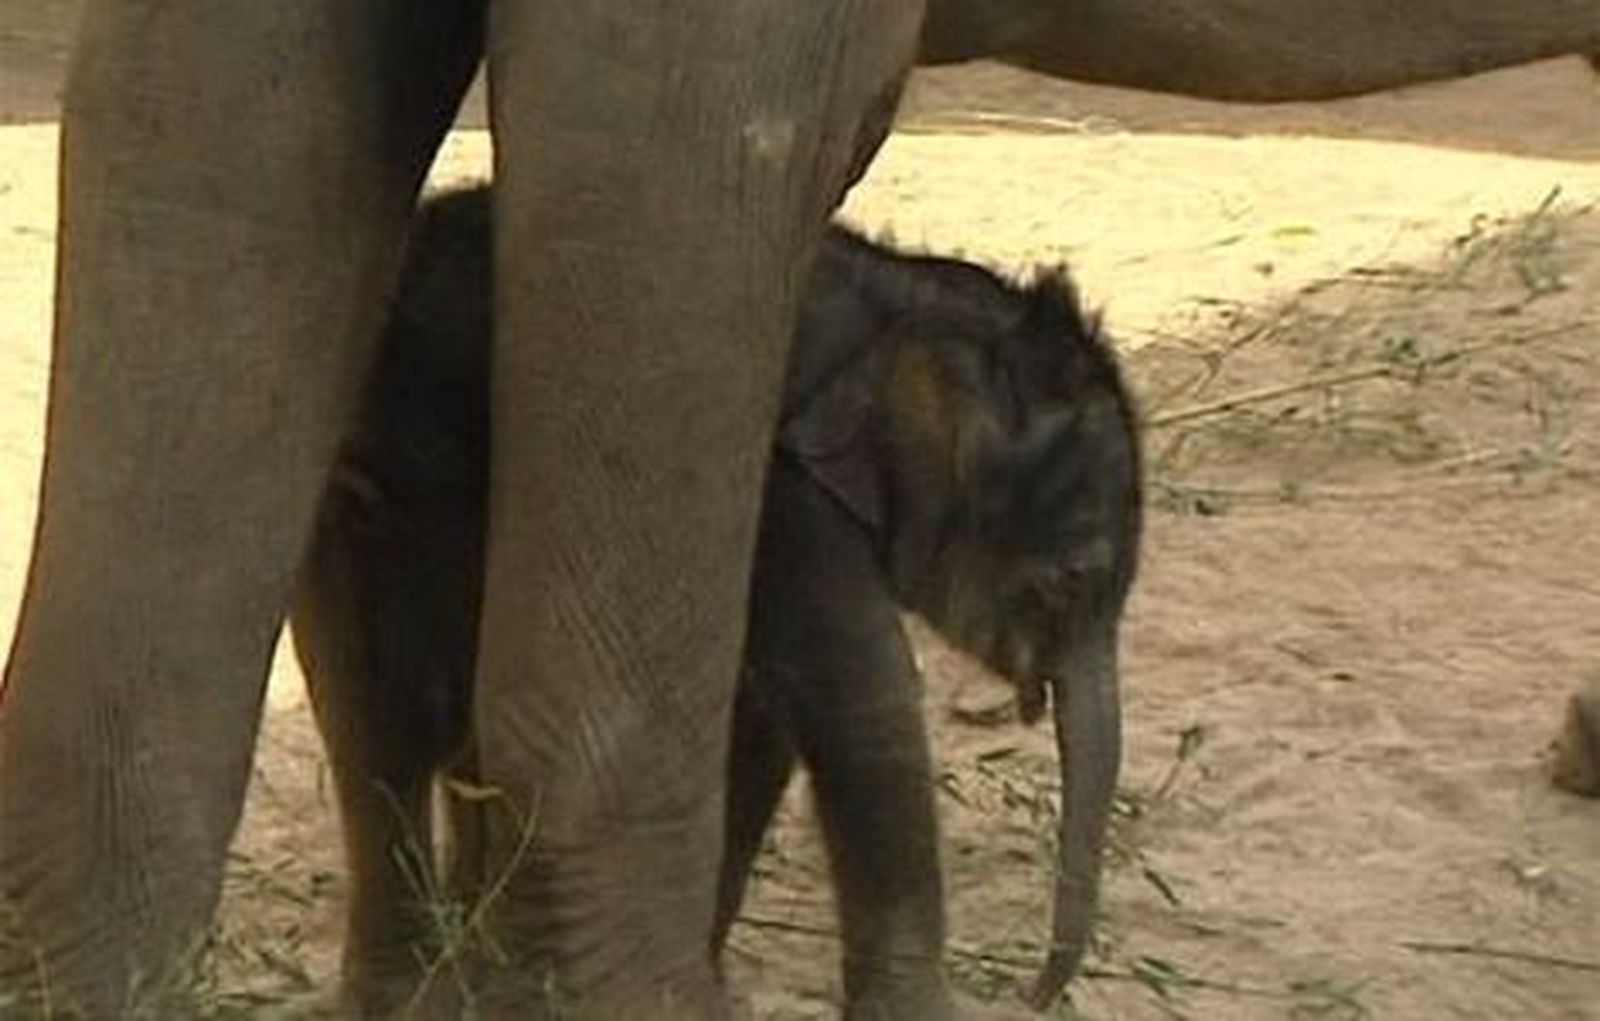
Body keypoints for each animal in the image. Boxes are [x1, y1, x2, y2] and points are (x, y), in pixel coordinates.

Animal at [288, 185, 1141, 1016]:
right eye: (1069, 581)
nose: (1036, 992)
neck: (898, 304)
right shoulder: (782, 495)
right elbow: (860, 709)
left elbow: (761, 719)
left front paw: (710, 979)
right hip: (368, 508)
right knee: (384, 725)